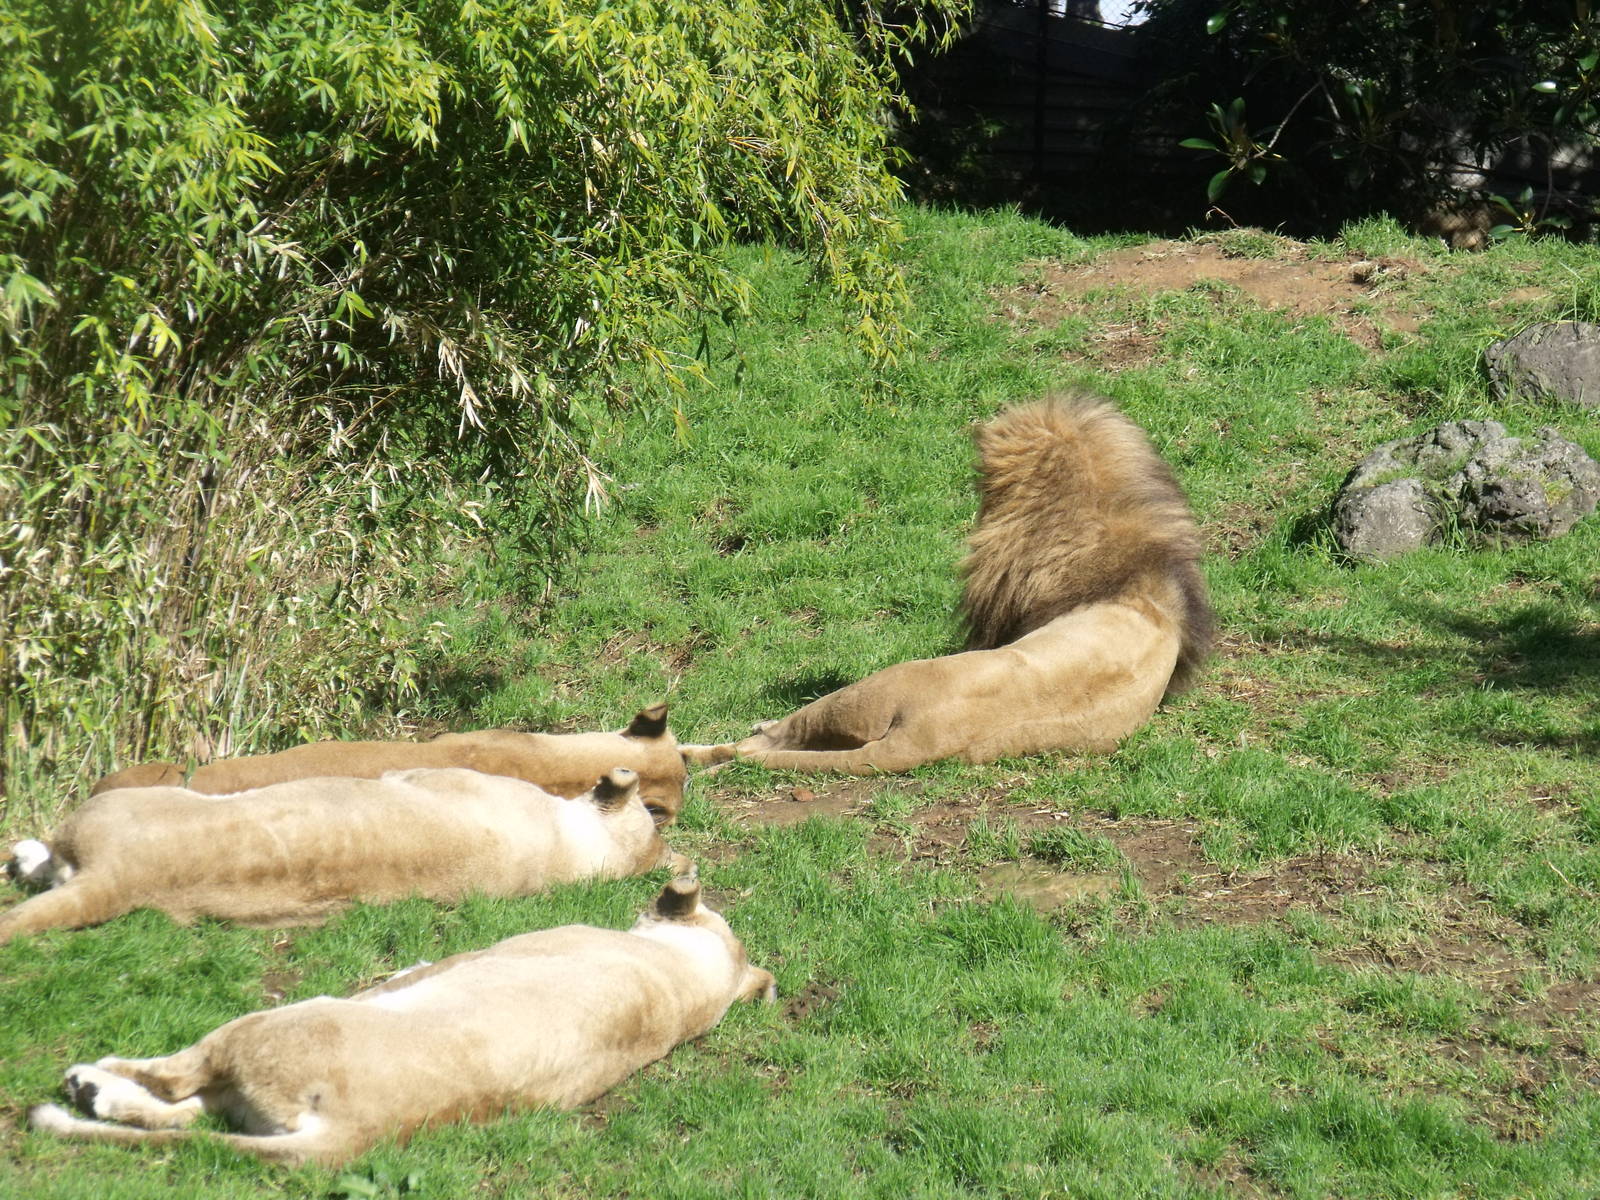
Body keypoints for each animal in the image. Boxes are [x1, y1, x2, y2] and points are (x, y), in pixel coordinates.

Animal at [28, 876, 773, 1166]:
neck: (686, 983)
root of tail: (352, 1138)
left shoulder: (475, 956)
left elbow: (405, 975)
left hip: (271, 1025)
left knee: (176, 1081)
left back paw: (86, 1081)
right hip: (252, 1104)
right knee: (180, 1115)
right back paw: (96, 1094)